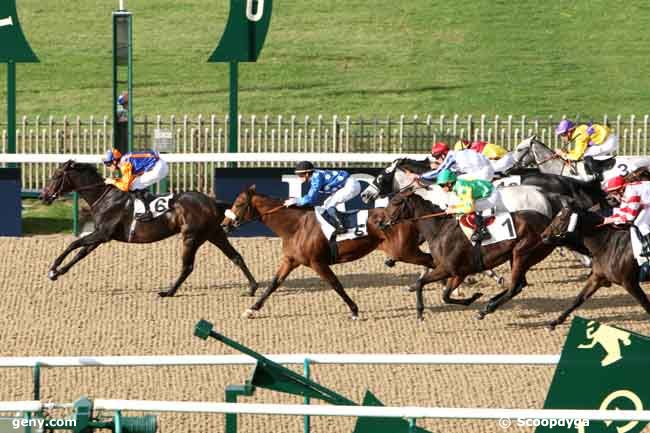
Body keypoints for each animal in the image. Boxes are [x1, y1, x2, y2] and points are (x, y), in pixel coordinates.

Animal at [38, 160, 258, 296]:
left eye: (56, 175)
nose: (43, 196)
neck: (104, 198)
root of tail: (212, 202)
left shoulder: (103, 233)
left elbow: (73, 244)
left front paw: (53, 268)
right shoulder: (101, 236)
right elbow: (80, 253)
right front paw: (58, 272)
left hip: (191, 237)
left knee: (187, 266)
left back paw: (168, 292)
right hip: (215, 234)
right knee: (236, 257)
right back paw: (253, 287)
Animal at [382, 191, 556, 318]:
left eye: (395, 202)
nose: (381, 223)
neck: (440, 230)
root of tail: (548, 223)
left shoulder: (450, 269)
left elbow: (423, 285)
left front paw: (419, 312)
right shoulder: (457, 273)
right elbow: (445, 295)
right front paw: (473, 297)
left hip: (521, 253)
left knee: (514, 287)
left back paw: (486, 309)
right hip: (520, 258)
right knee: (520, 285)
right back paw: (490, 303)